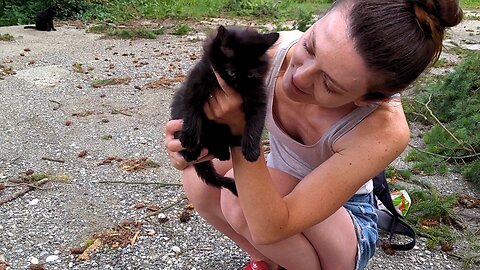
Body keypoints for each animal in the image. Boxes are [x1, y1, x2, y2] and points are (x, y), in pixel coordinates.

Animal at [171, 25, 280, 195]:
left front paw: (251, 149)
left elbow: (256, 122)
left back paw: (226, 148)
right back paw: (192, 151)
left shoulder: (257, 96)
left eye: (250, 75)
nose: (239, 87)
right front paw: (189, 137)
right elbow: (191, 109)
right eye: (232, 73)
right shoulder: (195, 84)